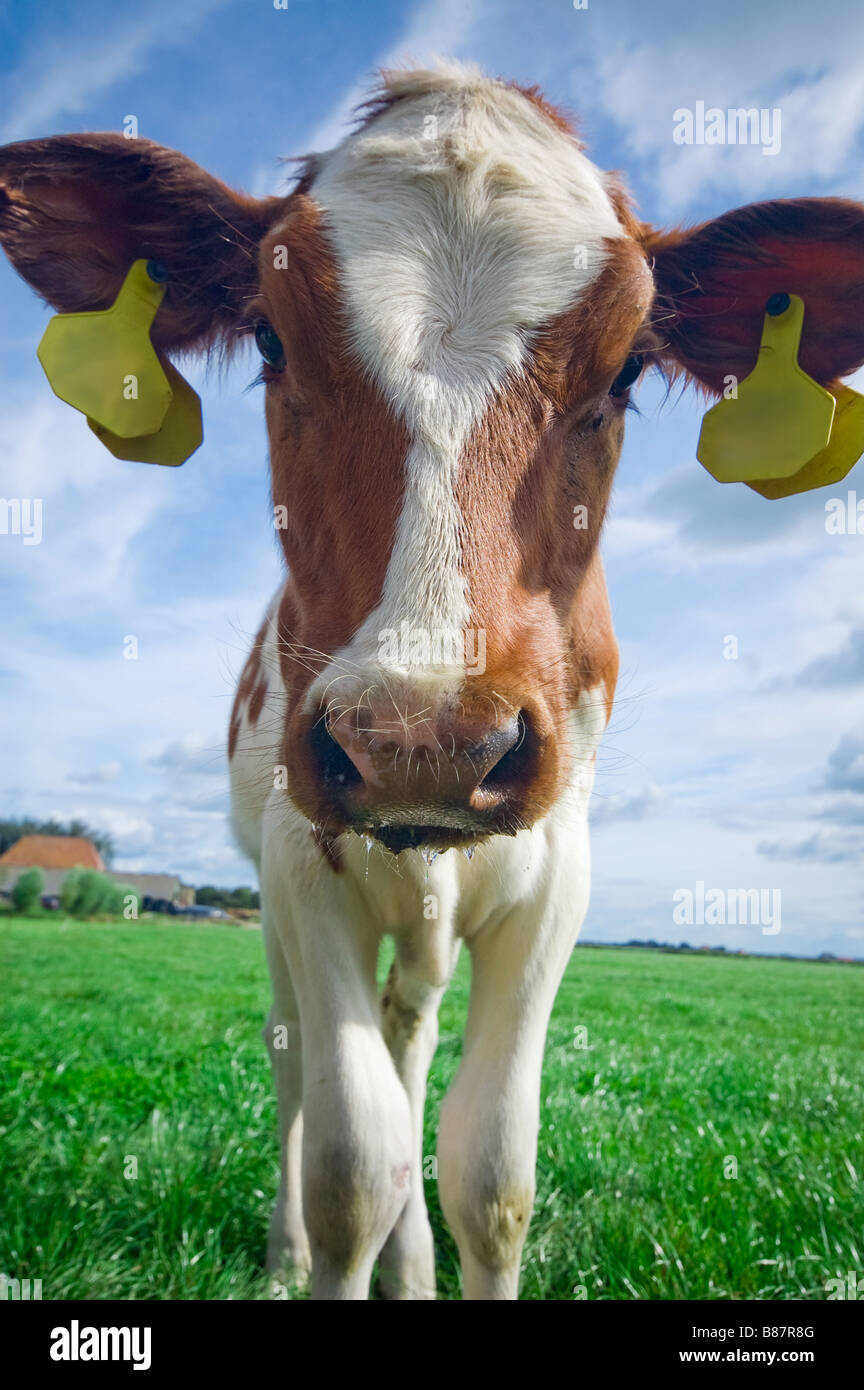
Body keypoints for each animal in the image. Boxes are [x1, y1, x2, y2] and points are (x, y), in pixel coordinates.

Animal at [1, 59, 864, 1295]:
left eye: (627, 368)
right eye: (269, 340)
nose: (423, 739)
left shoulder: (556, 872)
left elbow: (490, 1176)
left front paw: (439, 1239)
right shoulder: (296, 854)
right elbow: (352, 1163)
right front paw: (324, 1244)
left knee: (408, 1036)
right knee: (295, 1061)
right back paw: (282, 1252)